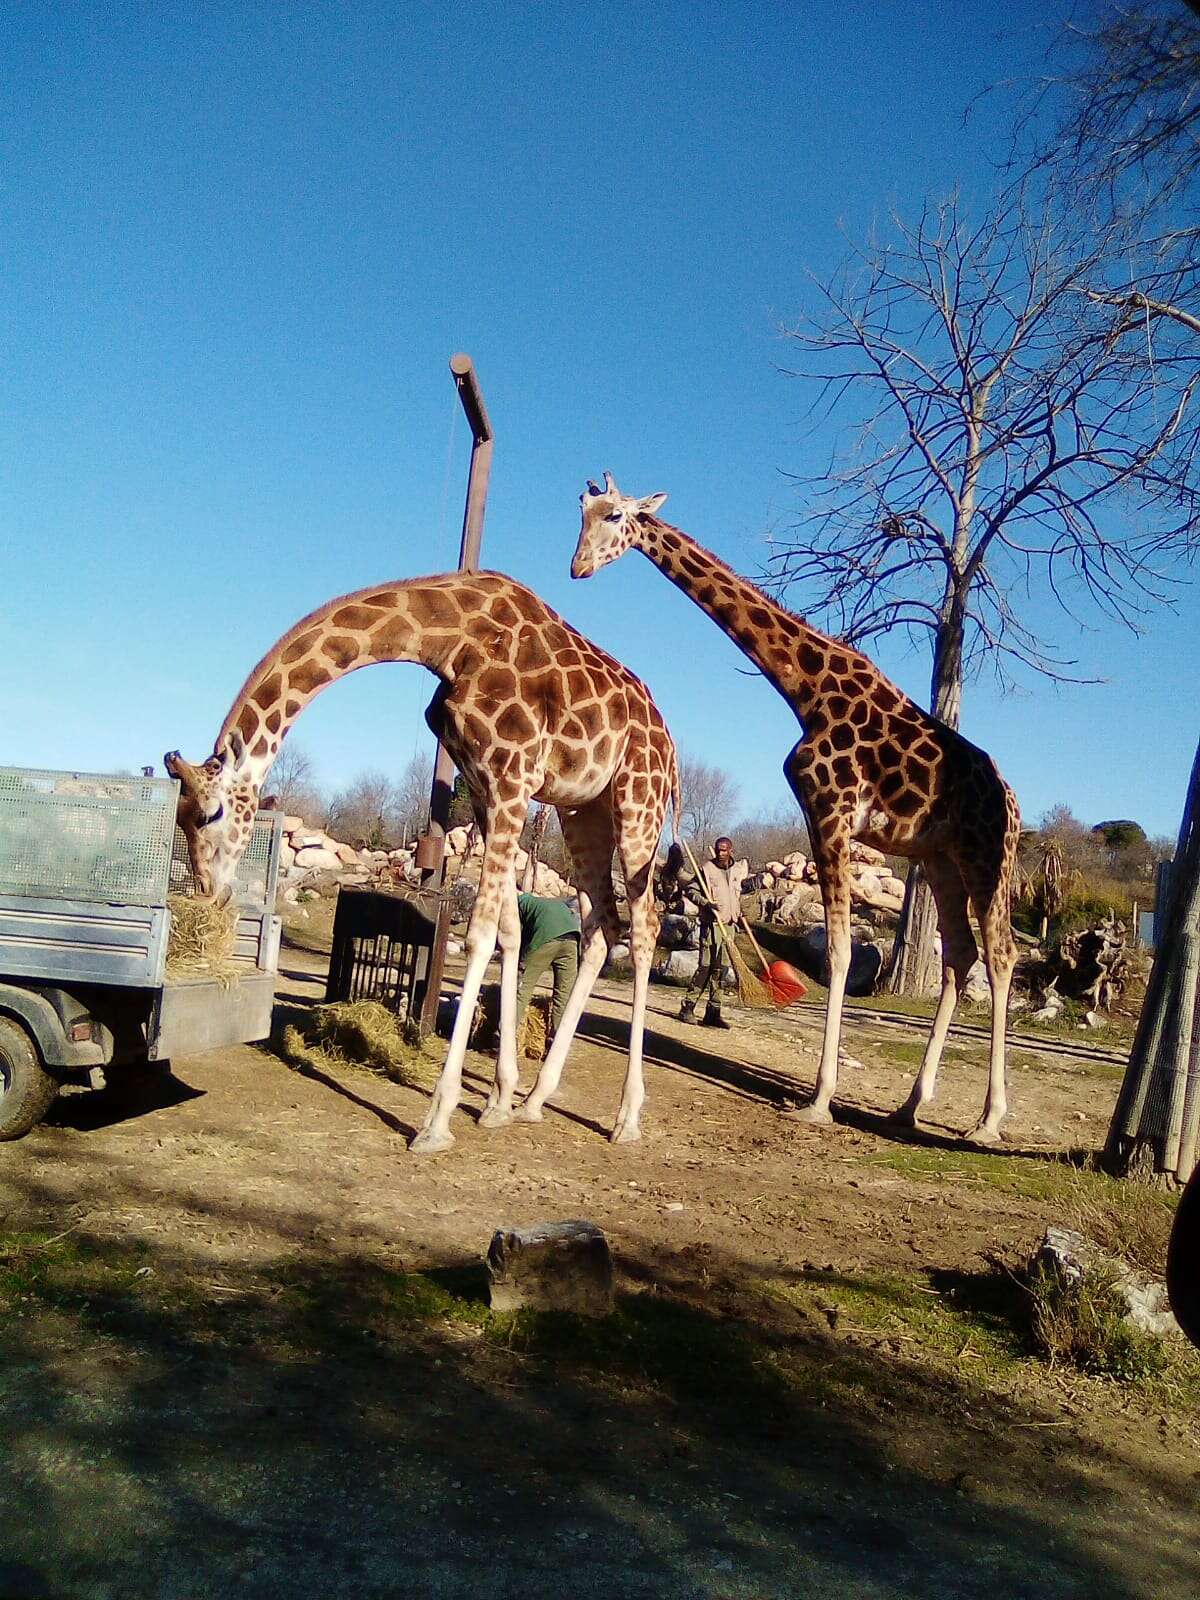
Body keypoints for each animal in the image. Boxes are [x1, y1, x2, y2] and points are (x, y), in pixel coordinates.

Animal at [164, 569, 681, 1158]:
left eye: (210, 813)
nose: (211, 892)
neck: (451, 640)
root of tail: (670, 746)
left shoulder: (513, 777)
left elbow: (479, 935)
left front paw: (437, 1121)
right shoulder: (483, 784)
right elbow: (508, 931)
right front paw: (499, 1100)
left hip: (637, 800)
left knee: (645, 926)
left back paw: (627, 1117)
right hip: (583, 806)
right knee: (603, 923)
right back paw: (536, 1101)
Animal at [576, 467, 1024, 1145]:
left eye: (614, 516)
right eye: (581, 511)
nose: (577, 567)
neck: (806, 691)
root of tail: (1016, 807)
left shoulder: (830, 811)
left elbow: (838, 950)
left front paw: (819, 1099)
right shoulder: (833, 818)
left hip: (986, 860)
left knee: (1000, 956)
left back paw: (989, 1120)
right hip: (940, 860)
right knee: (959, 957)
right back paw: (909, 1107)